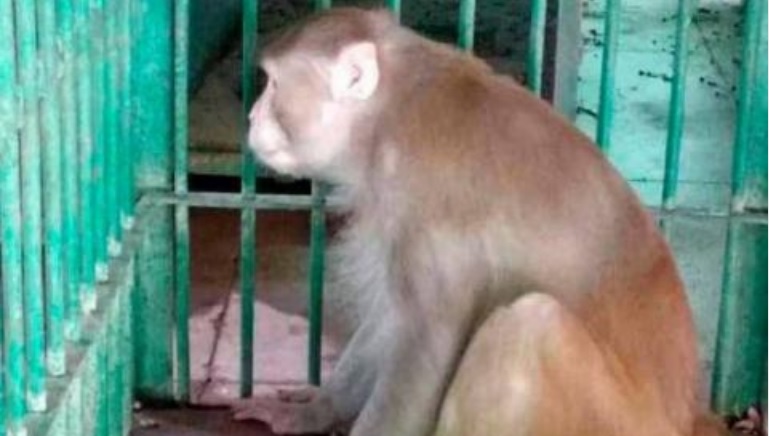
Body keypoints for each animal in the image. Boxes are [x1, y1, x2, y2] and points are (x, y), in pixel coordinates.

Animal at [233, 7, 727, 436]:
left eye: (273, 85)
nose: (252, 116)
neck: (391, 110)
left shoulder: (424, 203)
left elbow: (424, 342)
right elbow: (392, 317)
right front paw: (313, 412)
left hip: (609, 422)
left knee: (530, 324)